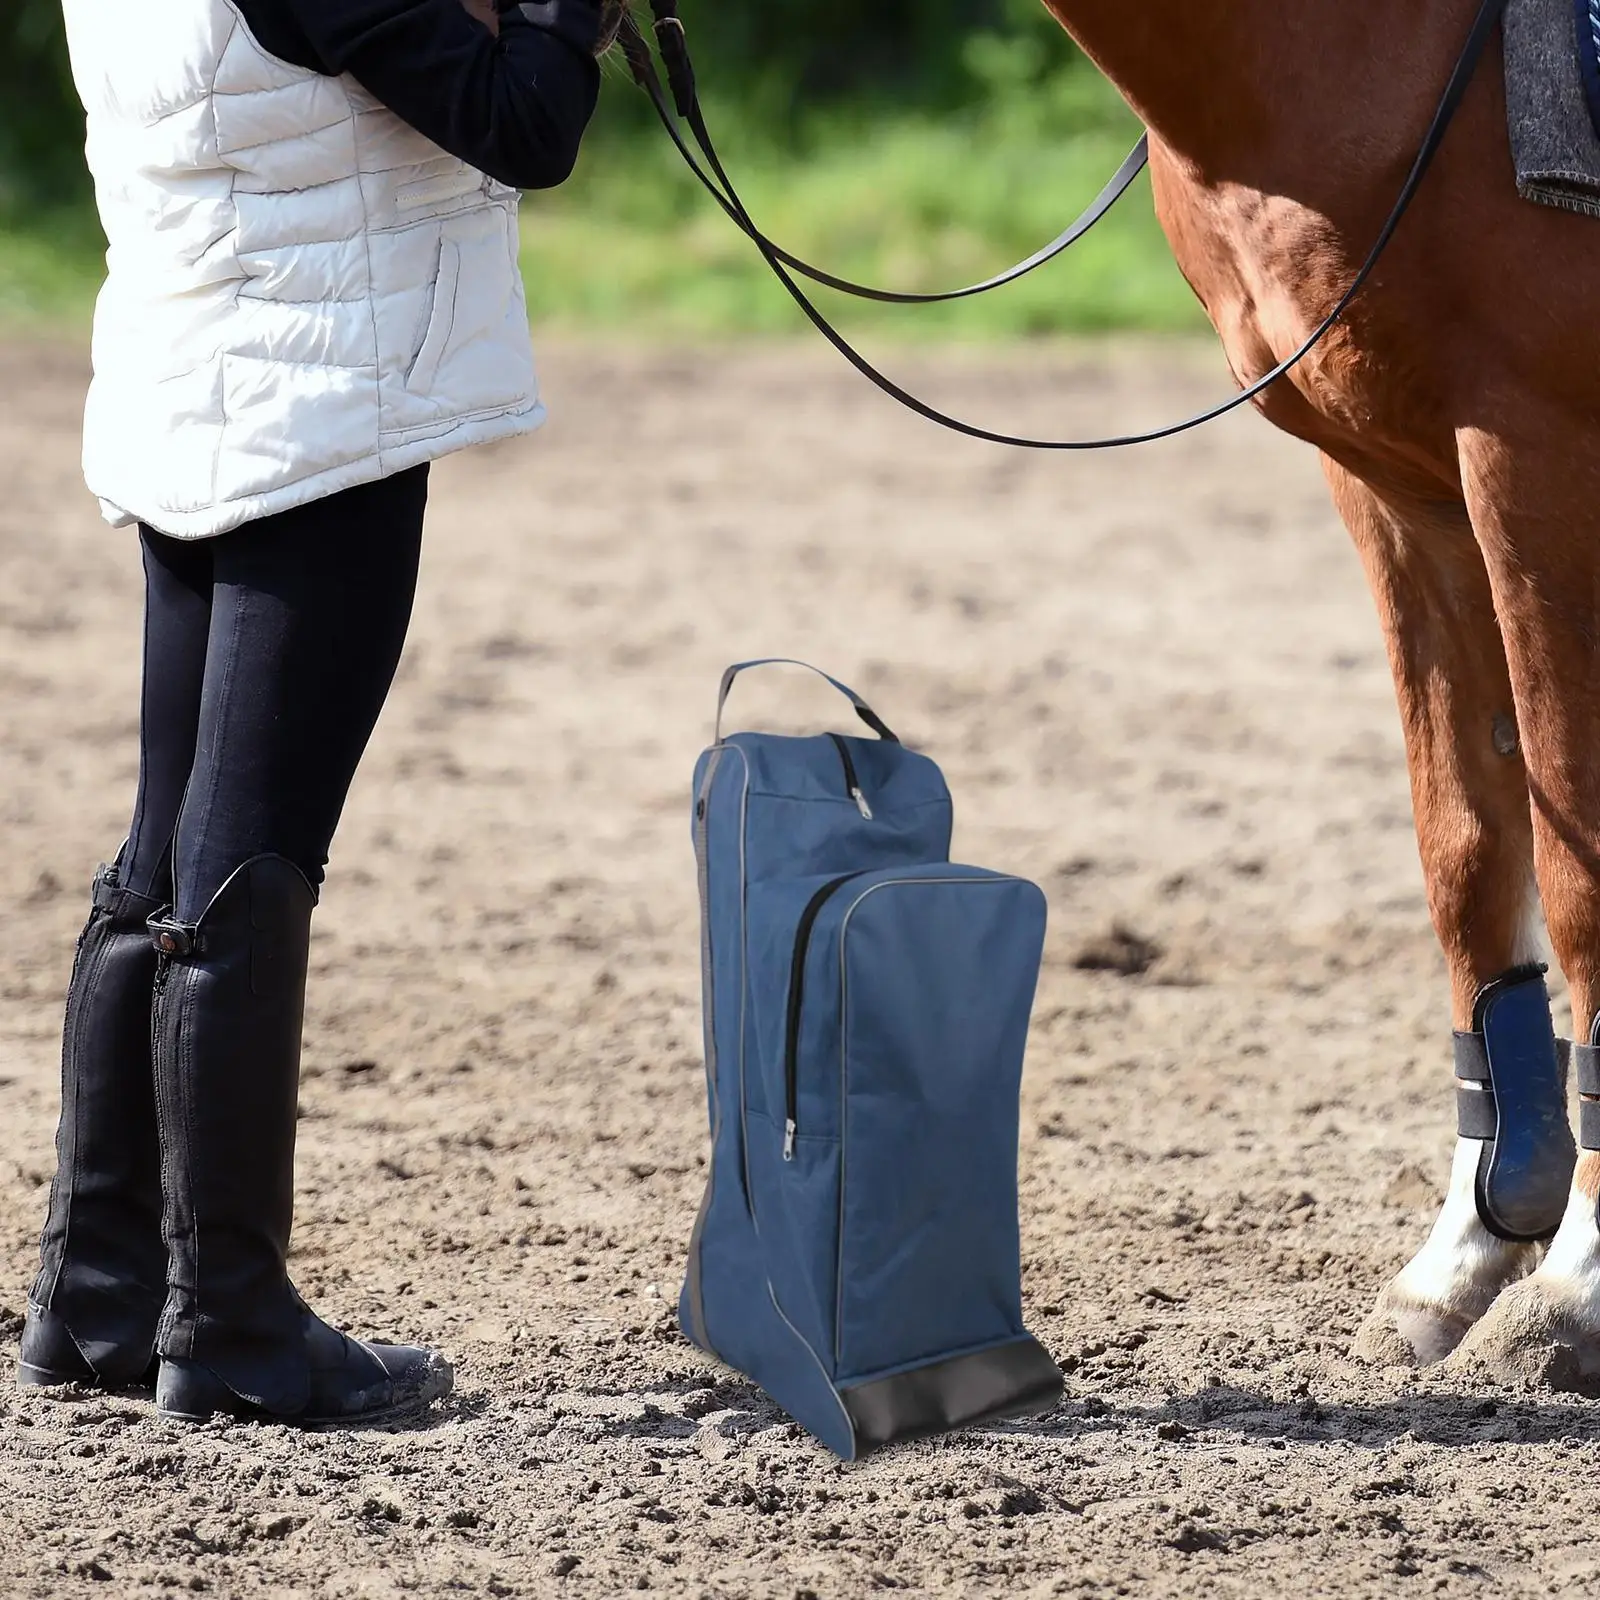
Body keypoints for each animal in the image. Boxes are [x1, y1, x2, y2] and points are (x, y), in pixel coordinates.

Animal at [1036, 0, 1600, 1382]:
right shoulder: (1401, 490)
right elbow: (1466, 851)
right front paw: (1470, 1247)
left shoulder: (1540, 465)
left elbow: (1576, 874)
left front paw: (1577, 1282)